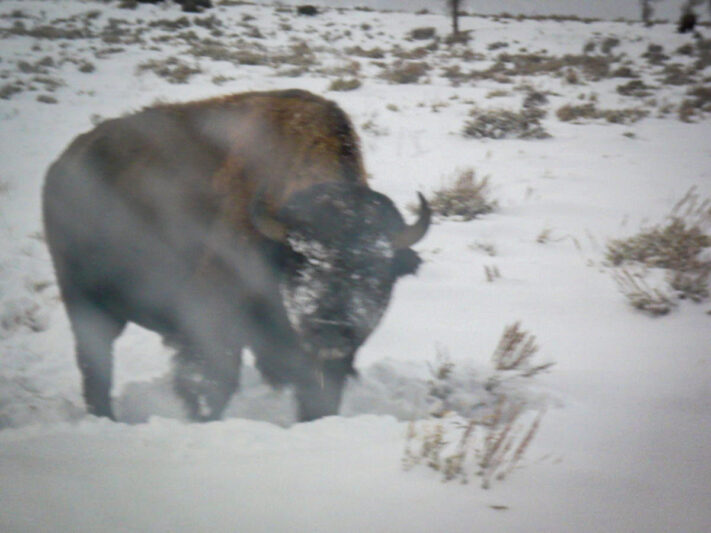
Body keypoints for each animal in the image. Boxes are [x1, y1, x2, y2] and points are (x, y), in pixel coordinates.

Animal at [46, 89, 434, 422]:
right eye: (300, 259)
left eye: (376, 270)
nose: (329, 329)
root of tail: (64, 162)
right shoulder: (214, 325)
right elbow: (213, 383)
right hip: (84, 301)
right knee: (95, 364)